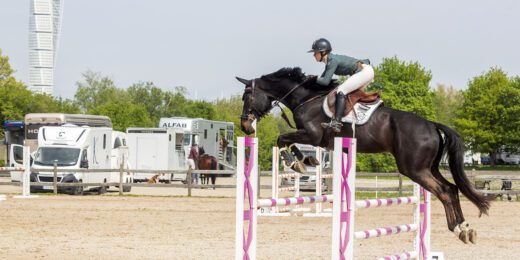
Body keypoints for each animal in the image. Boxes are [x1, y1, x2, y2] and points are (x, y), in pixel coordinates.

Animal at [237, 66, 492, 244]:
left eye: (246, 97)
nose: (245, 127)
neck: (306, 98)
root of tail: (431, 125)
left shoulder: (313, 135)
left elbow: (283, 139)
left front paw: (296, 162)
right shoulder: (316, 139)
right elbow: (288, 142)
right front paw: (306, 160)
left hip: (414, 169)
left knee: (445, 191)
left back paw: (458, 229)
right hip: (429, 167)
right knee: (452, 188)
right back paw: (465, 228)